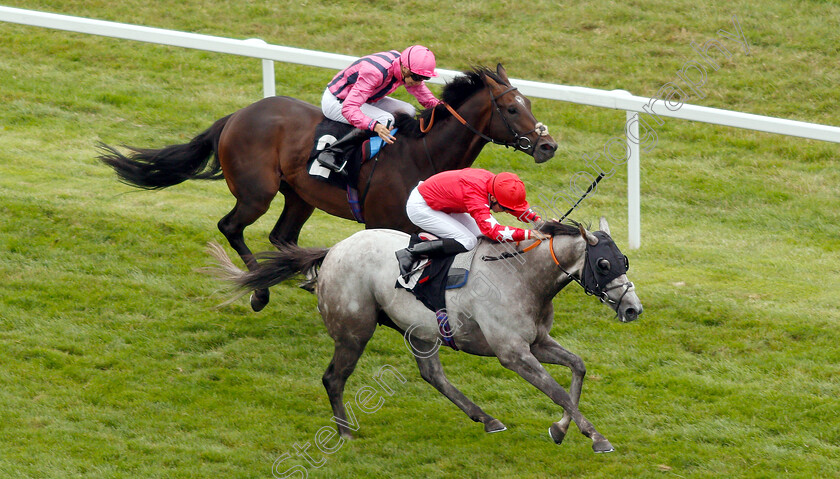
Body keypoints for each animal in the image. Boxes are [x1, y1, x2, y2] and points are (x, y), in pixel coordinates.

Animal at [98, 64, 556, 312]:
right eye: (511, 108)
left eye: (530, 104)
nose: (548, 146)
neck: (422, 153)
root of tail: (236, 116)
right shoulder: (385, 222)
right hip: (256, 192)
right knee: (231, 227)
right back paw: (260, 291)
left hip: (300, 196)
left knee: (281, 236)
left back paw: (301, 275)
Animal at [205, 218, 644, 454]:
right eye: (603, 264)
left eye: (623, 260)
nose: (632, 309)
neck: (522, 277)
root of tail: (332, 251)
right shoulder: (513, 353)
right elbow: (556, 390)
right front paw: (596, 437)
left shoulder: (537, 343)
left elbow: (578, 368)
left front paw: (560, 428)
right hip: (354, 332)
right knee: (333, 378)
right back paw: (344, 431)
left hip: (420, 332)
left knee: (432, 375)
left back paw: (486, 418)